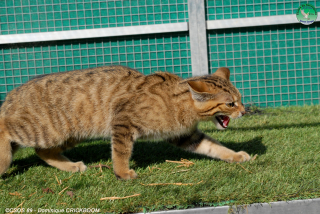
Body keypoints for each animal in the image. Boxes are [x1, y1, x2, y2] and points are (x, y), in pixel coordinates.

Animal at [0, 65, 250, 179]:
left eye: (239, 100)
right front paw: (122, 172)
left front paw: (236, 155)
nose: (244, 111)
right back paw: (3, 160)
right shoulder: (123, 122)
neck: (181, 104)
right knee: (4, 127)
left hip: (69, 135)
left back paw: (71, 166)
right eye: (230, 104)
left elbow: (214, 146)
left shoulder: (185, 135)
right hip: (45, 130)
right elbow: (120, 152)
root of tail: (11, 96)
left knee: (43, 152)